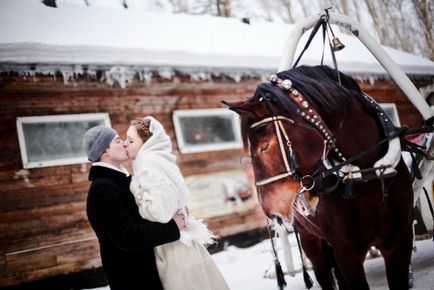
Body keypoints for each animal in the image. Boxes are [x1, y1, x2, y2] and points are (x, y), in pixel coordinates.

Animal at [224, 65, 414, 290]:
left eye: (264, 147)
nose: (271, 212)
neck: (369, 178)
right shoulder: (346, 252)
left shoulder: (400, 240)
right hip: (311, 240)